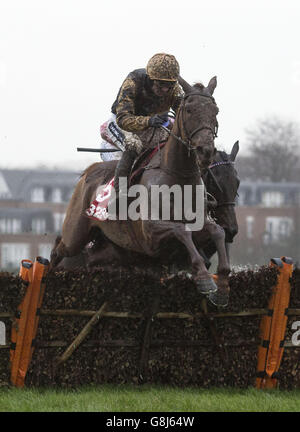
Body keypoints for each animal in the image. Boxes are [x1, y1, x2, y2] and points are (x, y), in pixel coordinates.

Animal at [51, 77, 230, 308]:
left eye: (215, 110)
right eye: (189, 110)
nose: (205, 151)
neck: (178, 175)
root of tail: (87, 173)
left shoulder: (199, 224)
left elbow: (217, 231)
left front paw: (222, 286)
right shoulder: (150, 233)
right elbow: (182, 231)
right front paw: (205, 280)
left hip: (114, 247)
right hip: (75, 234)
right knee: (57, 250)